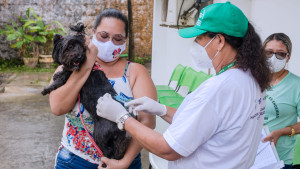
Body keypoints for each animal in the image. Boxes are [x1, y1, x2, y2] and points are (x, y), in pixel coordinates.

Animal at [42, 22, 130, 160]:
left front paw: (47, 89)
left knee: (107, 150)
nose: (79, 56)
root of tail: (120, 124)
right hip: (119, 140)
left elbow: (58, 81)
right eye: (70, 46)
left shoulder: (67, 76)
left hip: (99, 134)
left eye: (82, 48)